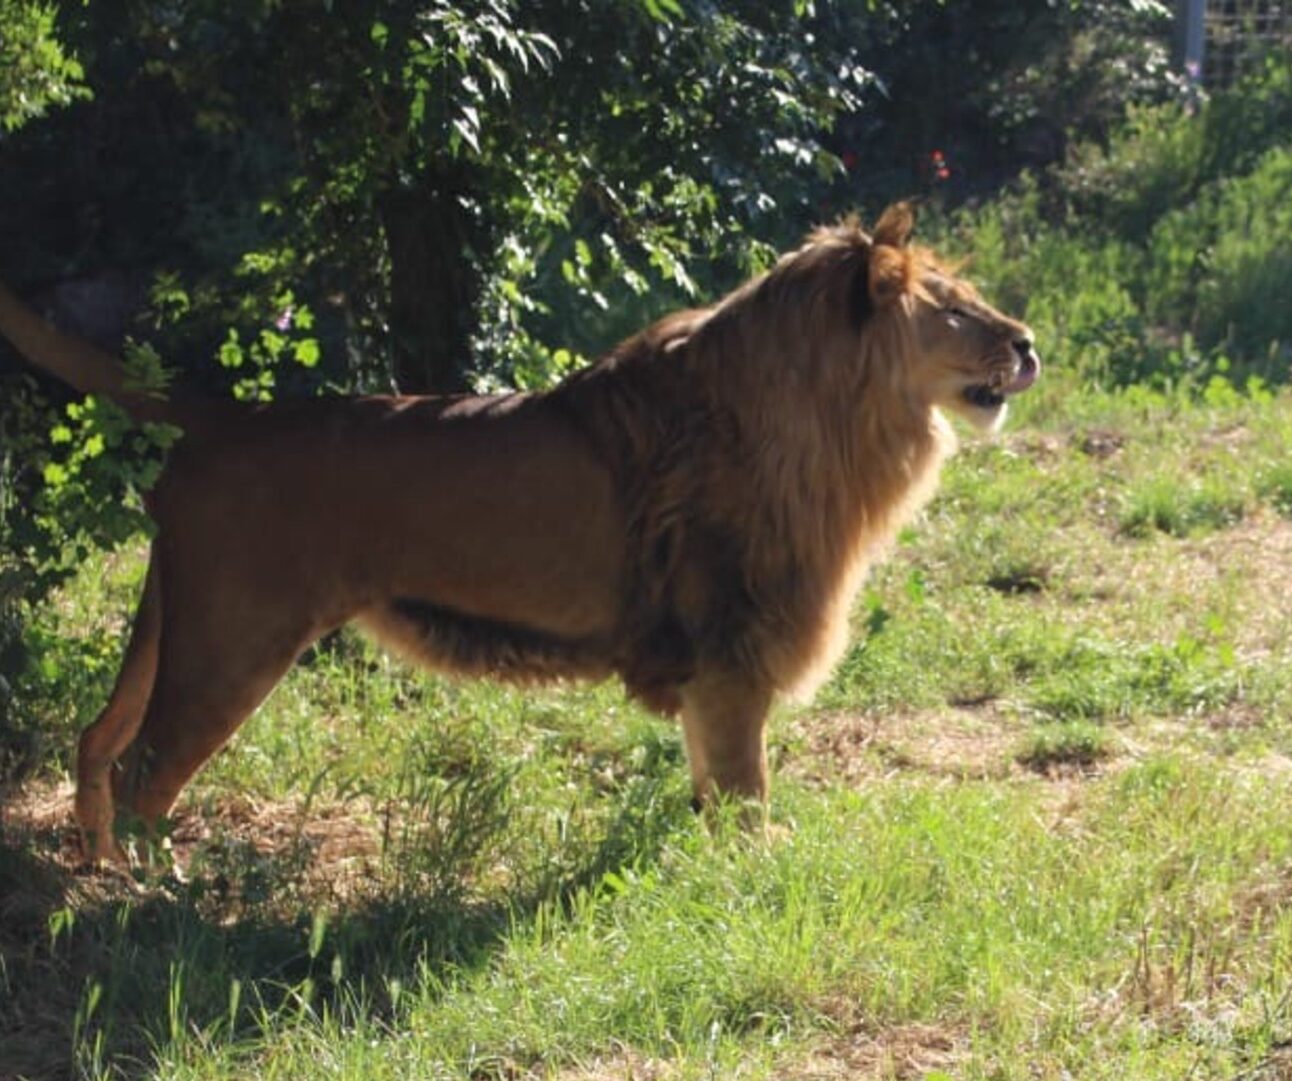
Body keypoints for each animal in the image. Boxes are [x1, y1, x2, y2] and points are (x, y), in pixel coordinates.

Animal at [0, 204, 1038, 864]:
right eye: (956, 308)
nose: (1029, 343)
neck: (830, 423)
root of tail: (219, 418)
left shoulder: (712, 667)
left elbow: (707, 781)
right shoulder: (733, 650)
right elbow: (745, 790)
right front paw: (758, 873)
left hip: (172, 623)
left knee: (95, 741)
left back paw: (94, 877)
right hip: (231, 643)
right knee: (143, 773)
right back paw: (151, 898)